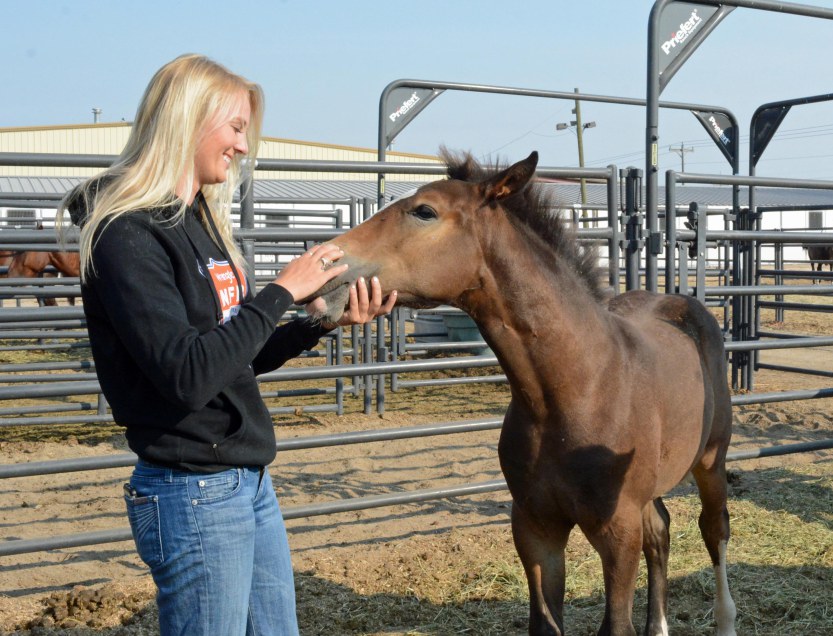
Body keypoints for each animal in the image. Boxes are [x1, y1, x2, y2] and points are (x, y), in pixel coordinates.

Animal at [308, 152, 736, 632]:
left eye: (424, 211)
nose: (324, 269)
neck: (576, 389)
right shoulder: (535, 529)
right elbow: (545, 621)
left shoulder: (616, 531)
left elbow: (616, 623)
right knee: (660, 531)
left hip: (710, 460)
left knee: (713, 528)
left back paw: (726, 618)